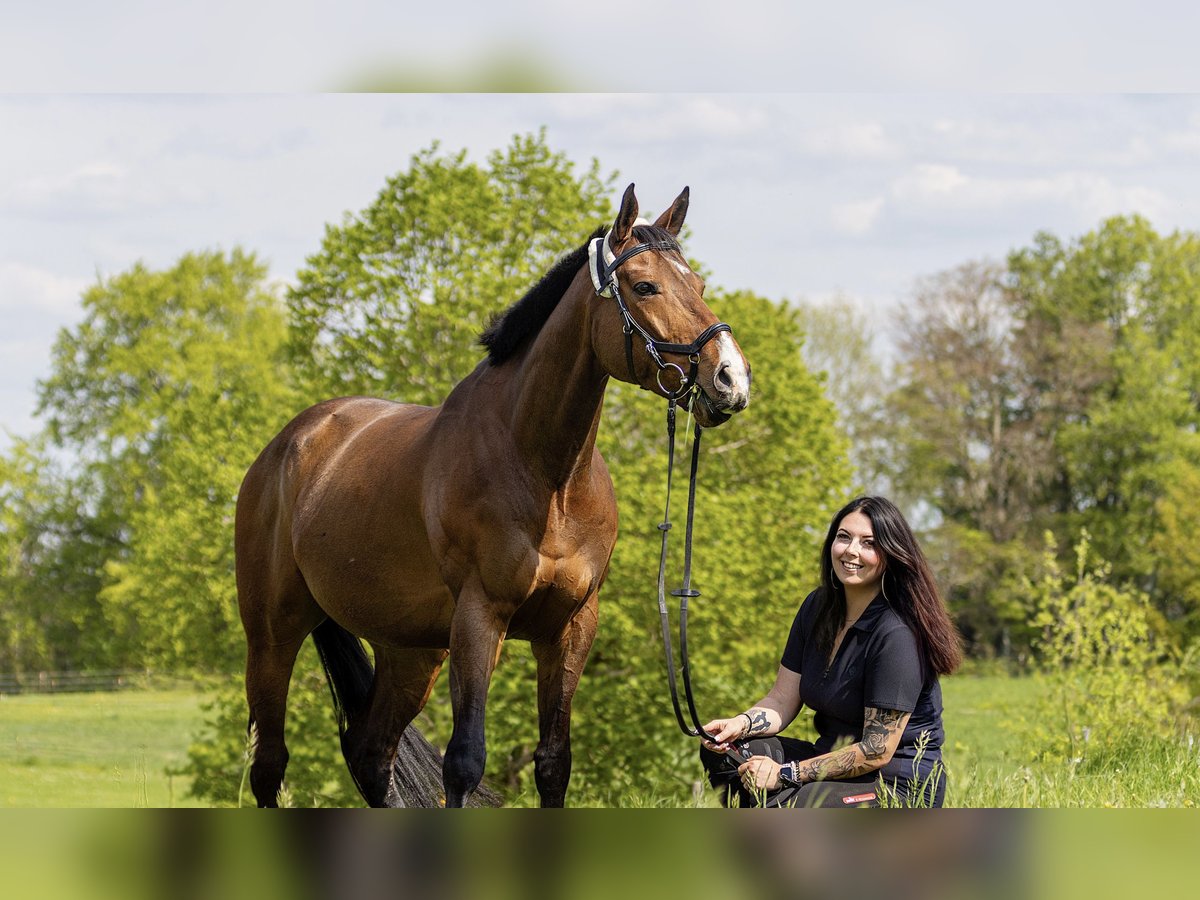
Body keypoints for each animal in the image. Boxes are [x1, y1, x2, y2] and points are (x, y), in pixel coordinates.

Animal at [234, 184, 748, 811]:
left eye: (697, 284)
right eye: (645, 286)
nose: (731, 378)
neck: (546, 477)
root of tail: (290, 443)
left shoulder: (570, 628)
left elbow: (553, 763)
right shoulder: (481, 617)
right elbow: (464, 761)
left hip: (411, 650)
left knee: (371, 754)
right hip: (273, 634)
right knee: (269, 764)